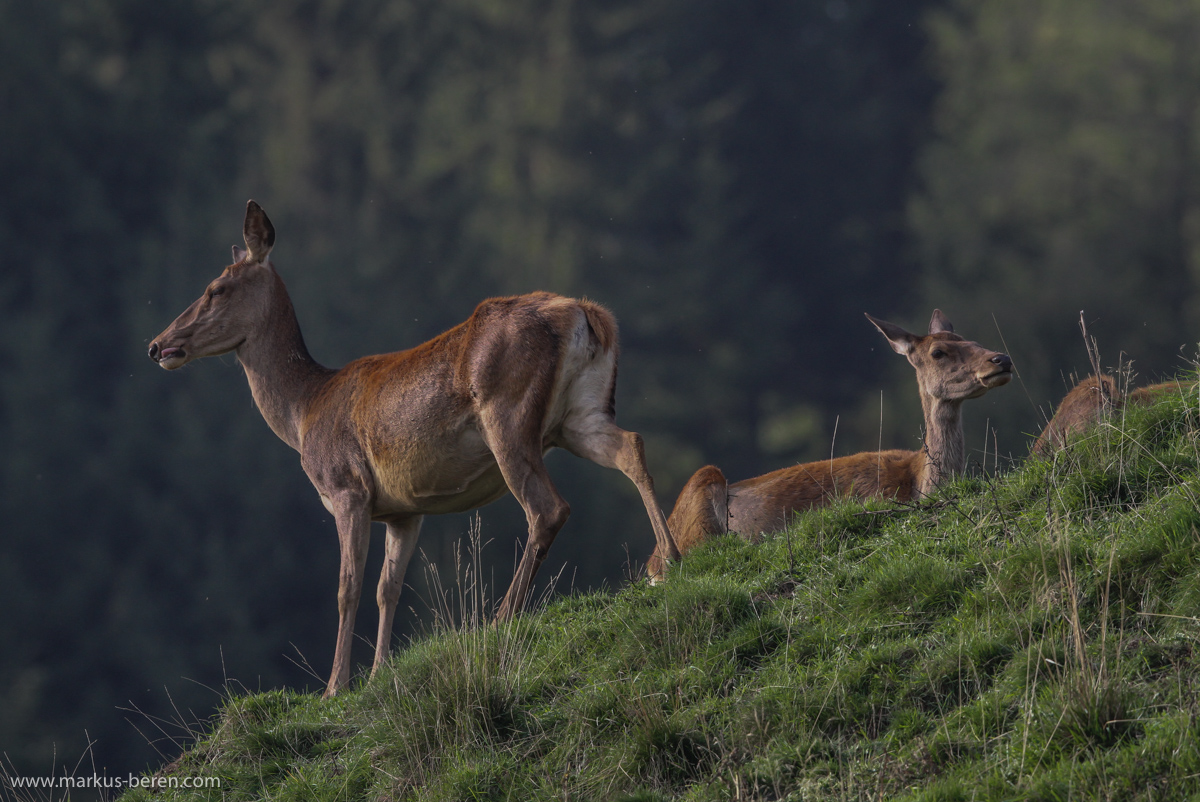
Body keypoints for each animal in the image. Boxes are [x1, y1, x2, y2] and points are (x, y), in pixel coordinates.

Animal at [145, 200, 681, 696]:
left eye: (215, 288)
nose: (156, 345)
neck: (304, 412)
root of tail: (586, 313)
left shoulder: (348, 488)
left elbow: (348, 588)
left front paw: (335, 686)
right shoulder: (404, 509)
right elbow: (389, 588)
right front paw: (380, 672)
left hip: (507, 416)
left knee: (548, 508)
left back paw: (500, 618)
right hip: (578, 416)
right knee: (630, 447)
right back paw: (672, 559)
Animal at [648, 309, 1012, 576]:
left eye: (971, 339)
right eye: (938, 352)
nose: (1001, 359)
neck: (919, 482)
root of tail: (650, 566)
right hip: (699, 505)